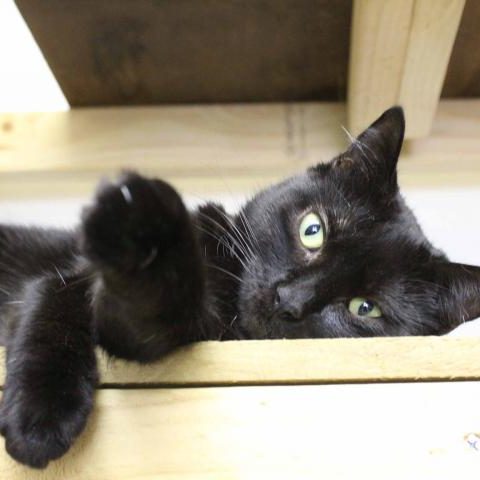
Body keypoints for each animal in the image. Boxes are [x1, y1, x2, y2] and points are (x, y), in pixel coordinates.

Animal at [0, 106, 479, 468]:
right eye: (313, 231)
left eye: (365, 308)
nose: (289, 301)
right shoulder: (71, 276)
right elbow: (54, 309)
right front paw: (40, 417)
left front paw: (39, 424)